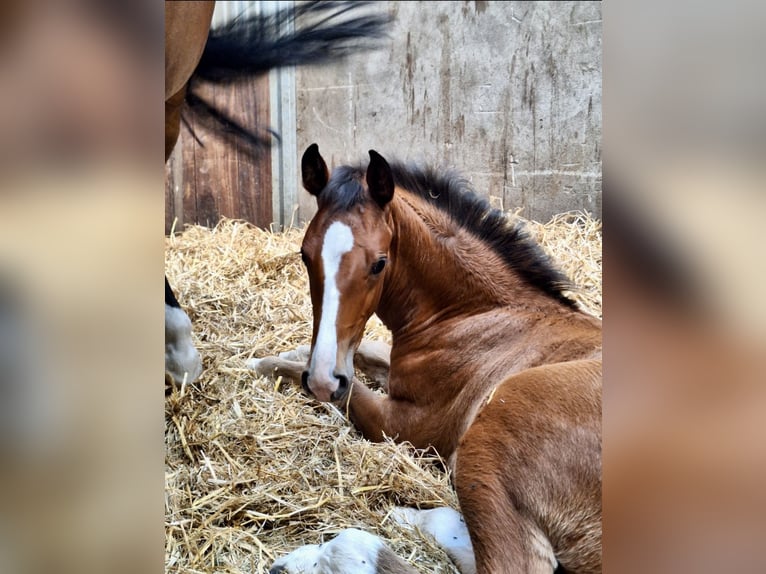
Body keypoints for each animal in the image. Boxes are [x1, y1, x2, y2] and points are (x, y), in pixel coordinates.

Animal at [252, 144, 603, 573]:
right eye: (305, 255)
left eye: (379, 263)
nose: (322, 380)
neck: (470, 315)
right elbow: (367, 352)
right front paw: (287, 354)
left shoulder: (404, 425)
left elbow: (345, 389)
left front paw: (265, 364)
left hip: (495, 428)